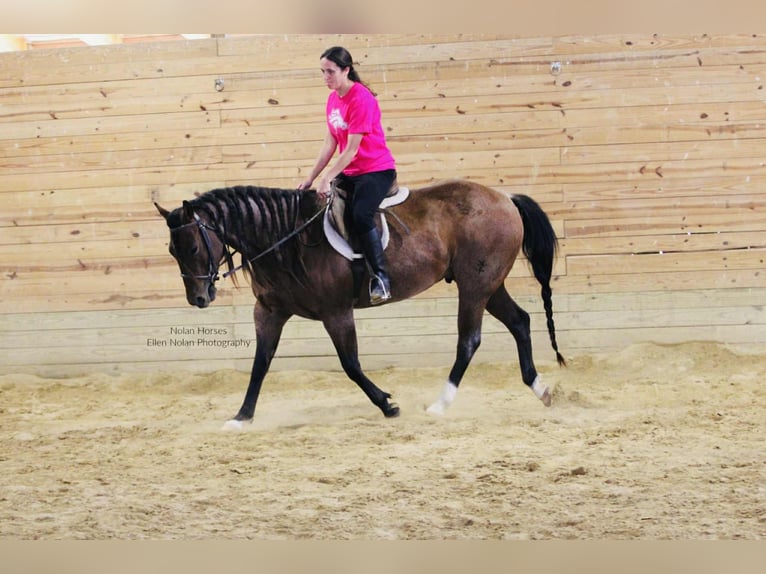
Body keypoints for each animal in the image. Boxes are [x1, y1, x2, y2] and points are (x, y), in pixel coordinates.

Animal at [155, 179, 566, 430]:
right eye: (173, 251)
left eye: (193, 247)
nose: (198, 299)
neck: (286, 239)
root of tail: (505, 199)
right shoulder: (269, 312)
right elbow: (260, 365)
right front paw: (241, 417)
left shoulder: (336, 312)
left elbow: (350, 364)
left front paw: (387, 404)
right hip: (488, 285)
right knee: (520, 322)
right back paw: (540, 389)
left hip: (475, 286)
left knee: (469, 340)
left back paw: (440, 404)